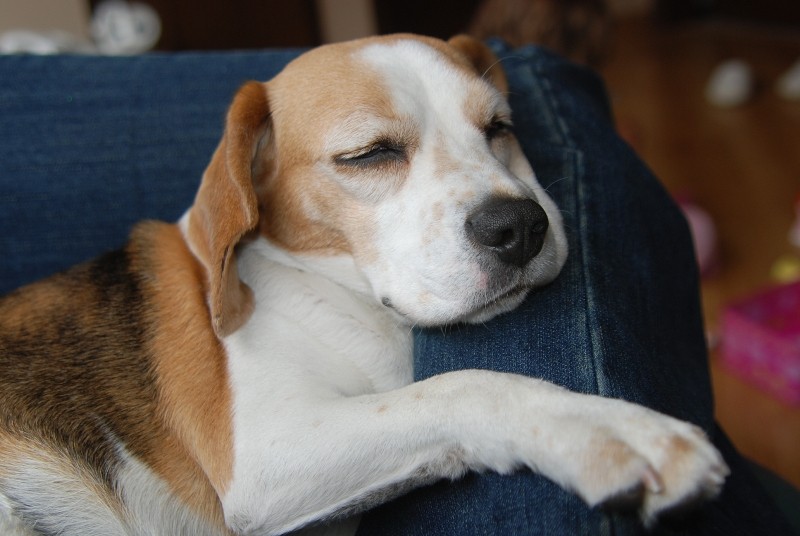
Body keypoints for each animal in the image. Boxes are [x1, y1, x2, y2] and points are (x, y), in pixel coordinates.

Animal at [0, 35, 724, 532]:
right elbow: (463, 386)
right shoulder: (265, 456)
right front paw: (605, 430)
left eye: (499, 129)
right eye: (368, 154)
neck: (321, 289)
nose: (521, 227)